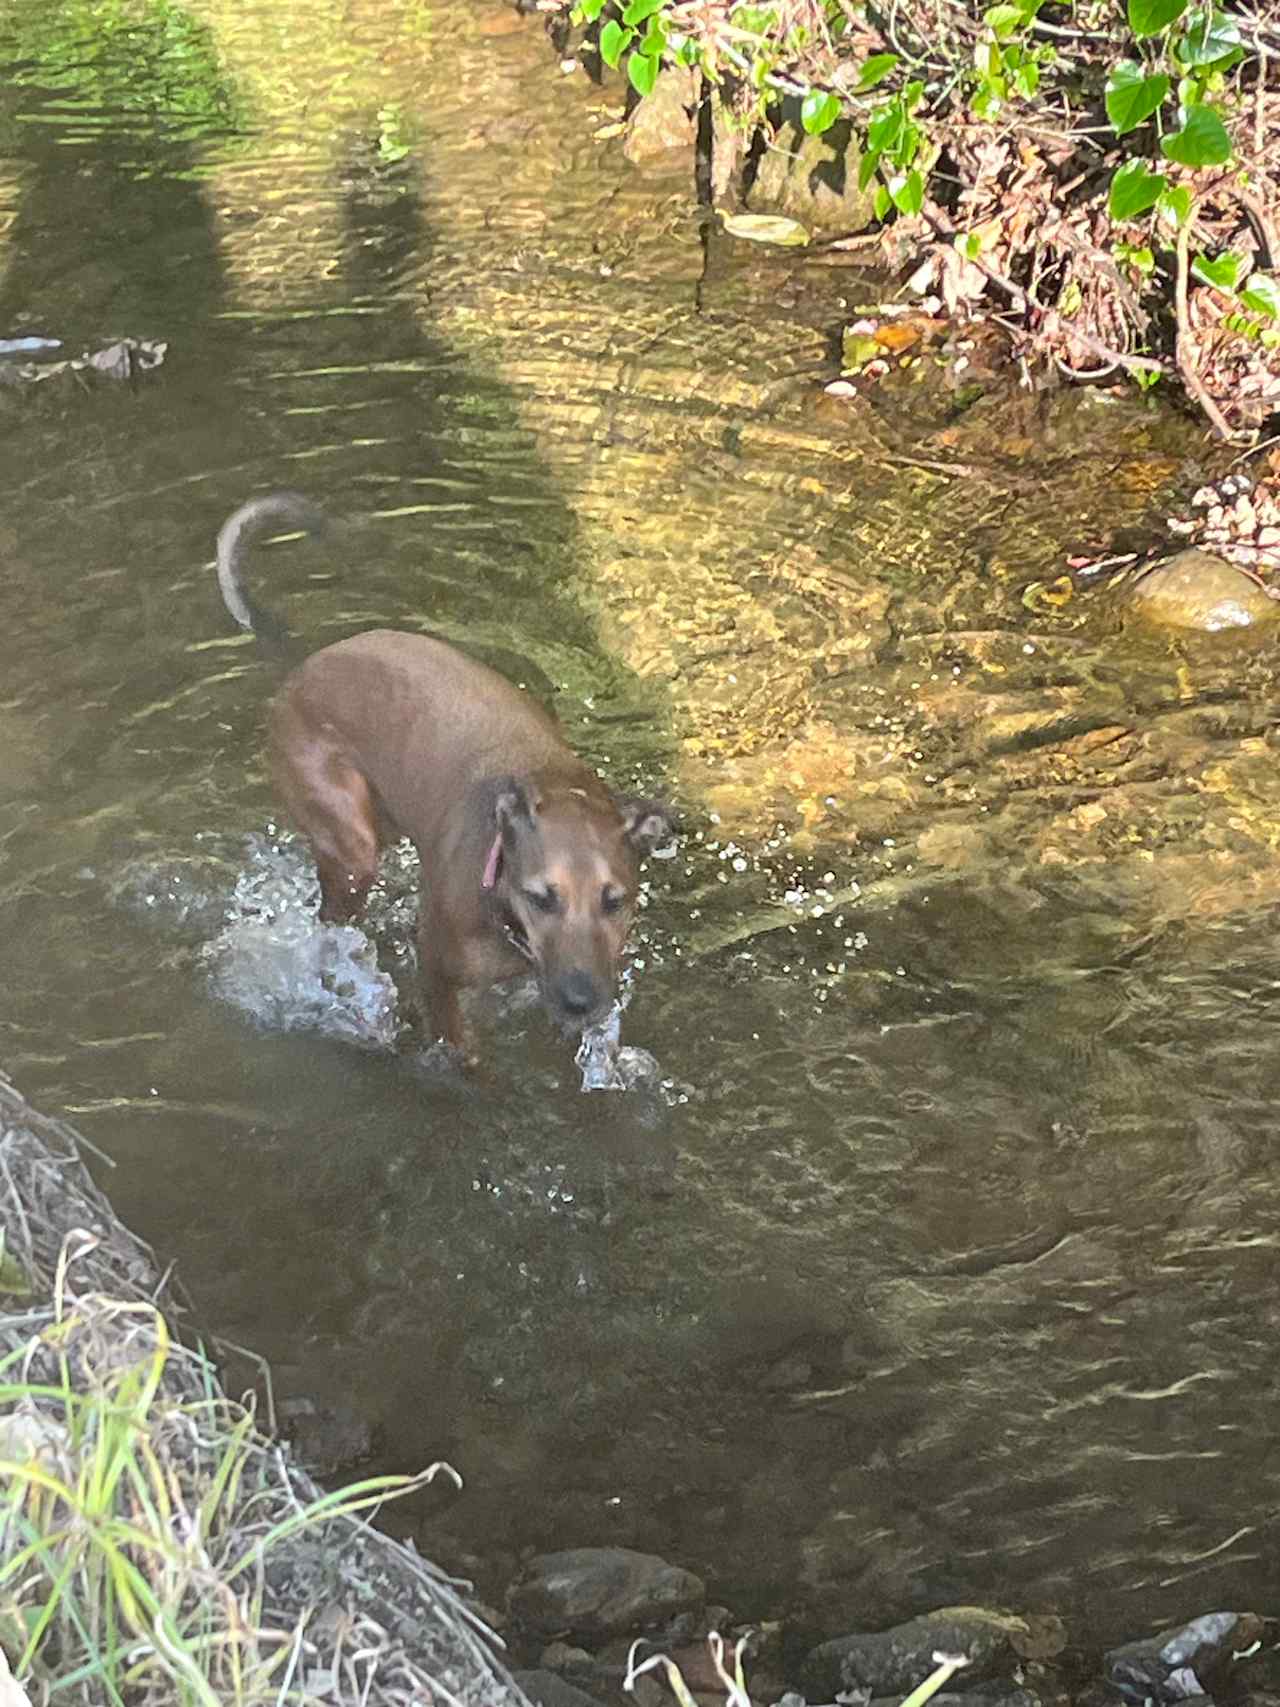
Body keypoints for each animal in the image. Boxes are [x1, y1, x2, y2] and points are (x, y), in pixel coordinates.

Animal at [215, 495, 675, 1051]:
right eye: (542, 898)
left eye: (614, 901)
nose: (580, 1000)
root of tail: (305, 663)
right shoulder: (437, 974)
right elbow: (459, 1050)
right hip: (350, 844)